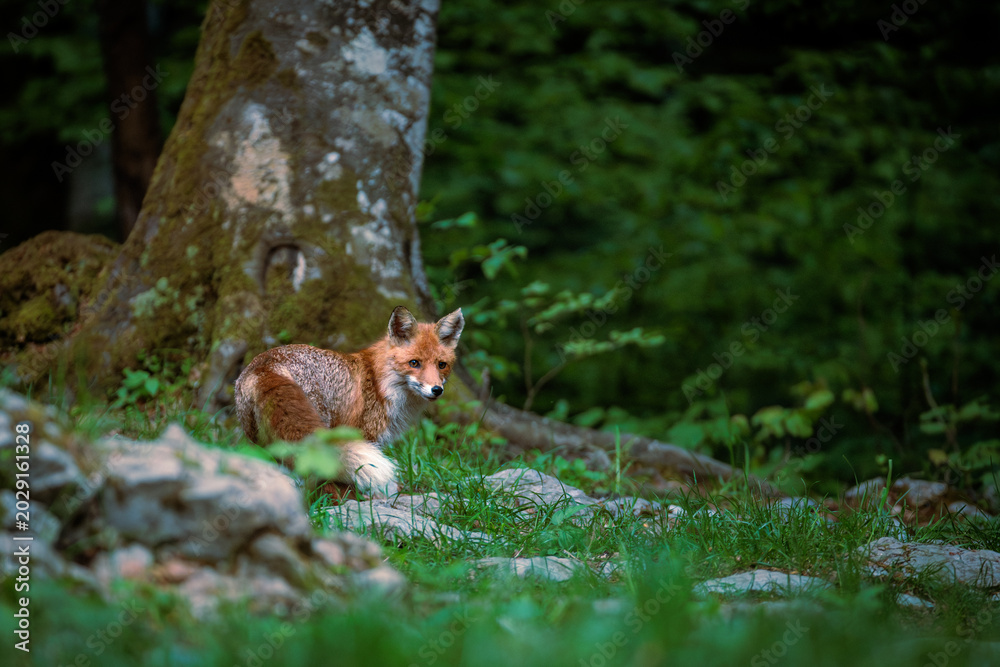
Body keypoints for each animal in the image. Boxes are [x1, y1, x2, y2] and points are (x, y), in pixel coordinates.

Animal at [234, 306, 464, 497]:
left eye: (442, 365)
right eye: (414, 363)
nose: (436, 390)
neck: (380, 383)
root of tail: (267, 364)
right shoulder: (364, 435)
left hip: (263, 443)